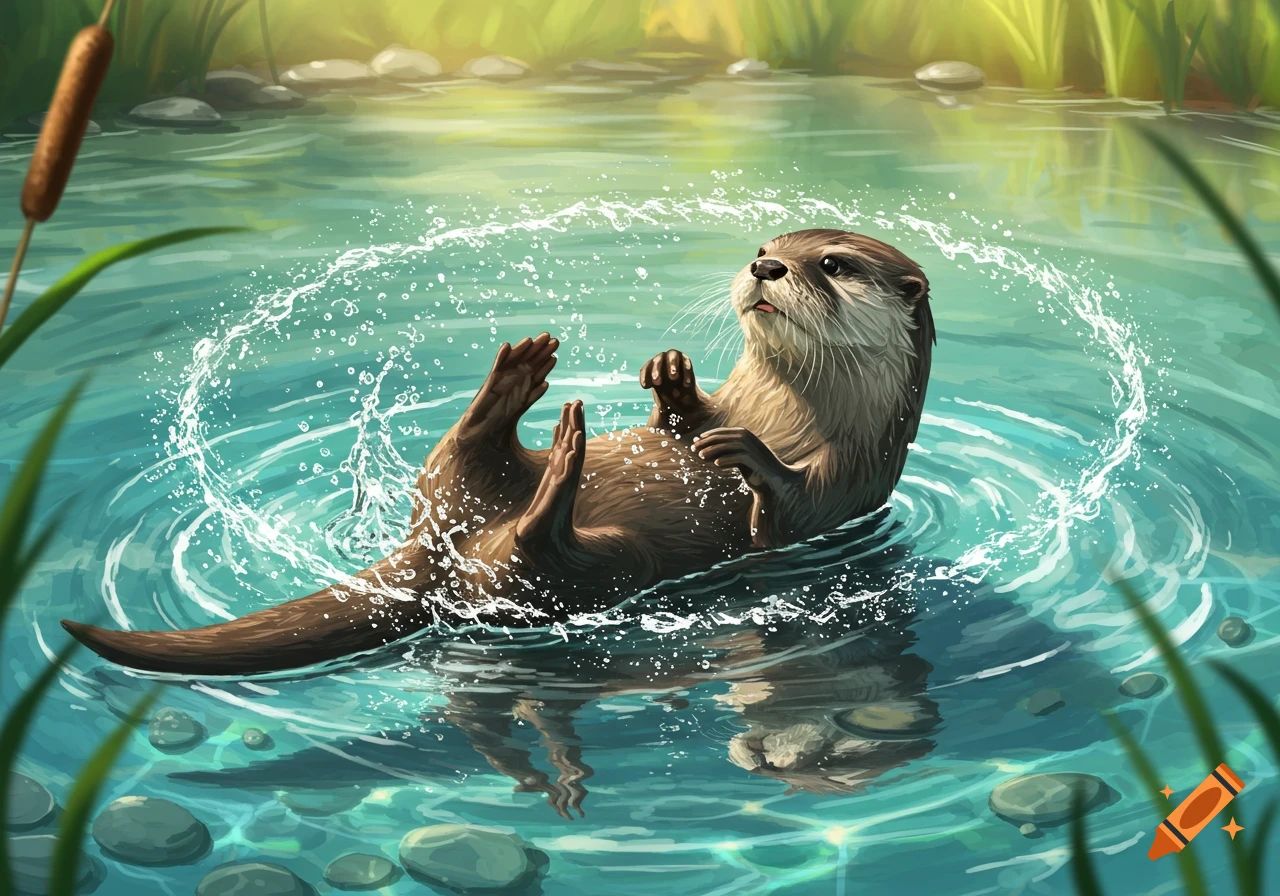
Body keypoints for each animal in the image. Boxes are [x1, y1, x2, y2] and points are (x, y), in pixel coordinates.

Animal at [63, 229, 935, 676]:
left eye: (832, 264)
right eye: (766, 242)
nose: (765, 266)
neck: (784, 410)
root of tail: (437, 552)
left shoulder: (855, 480)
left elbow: (784, 515)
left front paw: (745, 454)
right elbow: (684, 425)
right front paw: (674, 380)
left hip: (607, 566)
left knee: (536, 561)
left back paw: (559, 470)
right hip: (455, 492)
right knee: (461, 461)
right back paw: (519, 392)